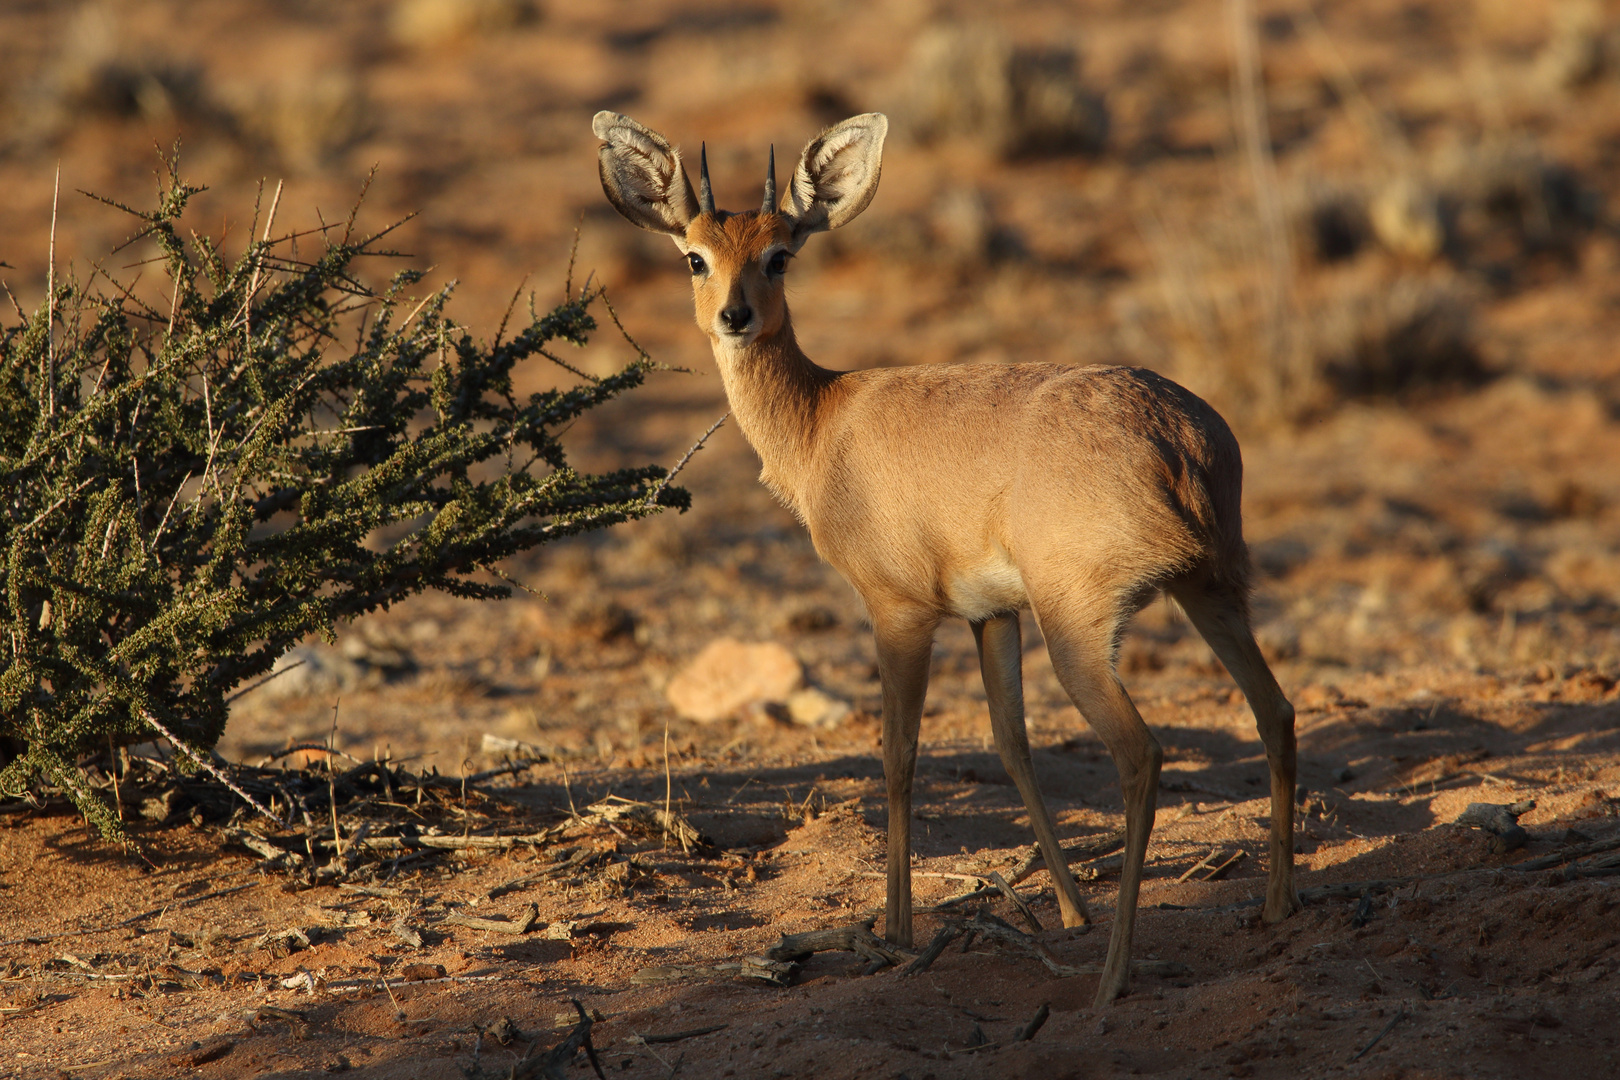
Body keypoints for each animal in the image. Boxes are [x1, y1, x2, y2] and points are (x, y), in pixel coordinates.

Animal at [596, 110, 1302, 1003]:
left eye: (780, 253)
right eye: (695, 254)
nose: (734, 316)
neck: (823, 422)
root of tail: (1180, 439)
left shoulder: (898, 612)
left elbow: (897, 755)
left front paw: (896, 929)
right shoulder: (991, 616)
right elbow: (1010, 743)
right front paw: (1069, 908)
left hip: (1081, 630)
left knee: (1142, 754)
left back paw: (1112, 979)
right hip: (1213, 591)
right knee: (1275, 711)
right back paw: (1274, 906)